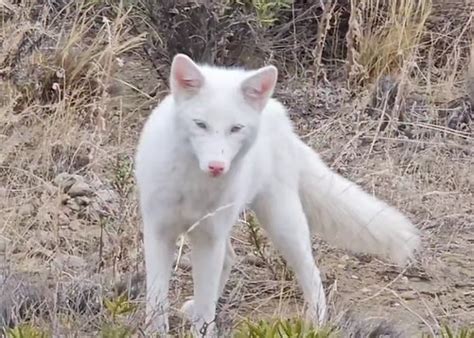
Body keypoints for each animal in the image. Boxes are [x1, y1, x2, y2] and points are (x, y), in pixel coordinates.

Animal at [133, 54, 418, 336]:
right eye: (200, 124)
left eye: (236, 128)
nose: (216, 166)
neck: (193, 186)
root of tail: (278, 113)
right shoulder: (159, 231)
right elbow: (156, 302)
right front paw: (155, 331)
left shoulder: (208, 238)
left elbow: (204, 313)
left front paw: (203, 328)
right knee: (230, 258)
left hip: (281, 223)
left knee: (311, 273)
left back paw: (316, 324)